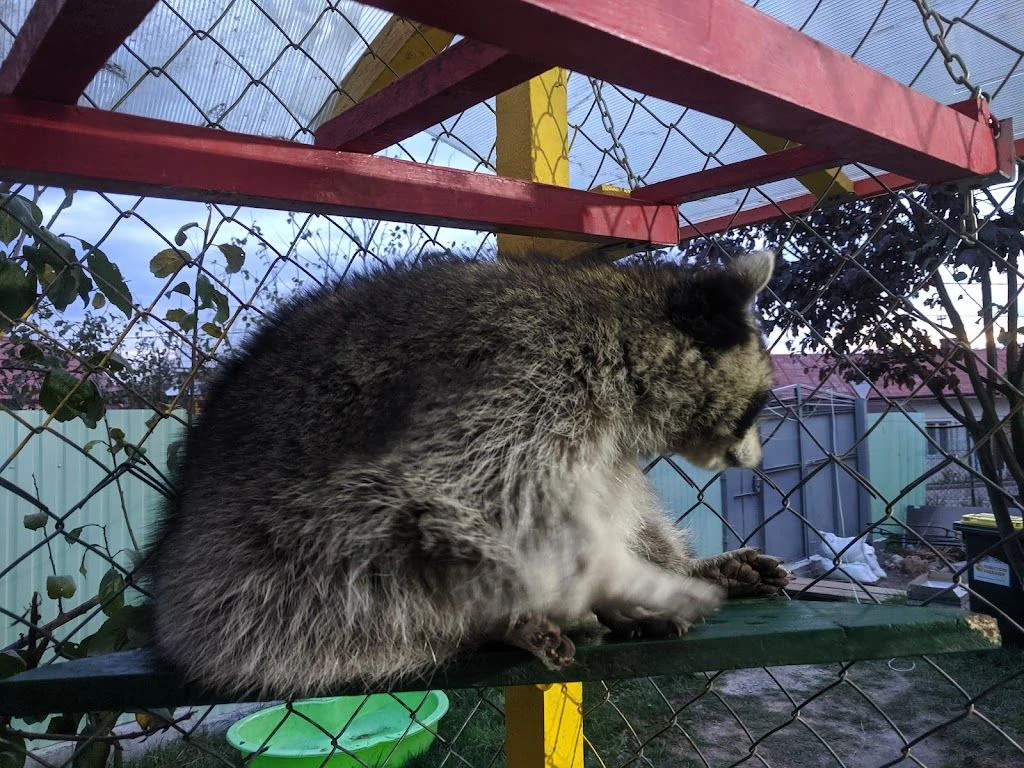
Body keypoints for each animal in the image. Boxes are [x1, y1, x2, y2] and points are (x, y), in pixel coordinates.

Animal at [147, 250, 788, 697]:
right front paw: (604, 586)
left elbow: (608, 503)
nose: (755, 460)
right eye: (756, 406)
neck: (620, 322)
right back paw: (496, 622)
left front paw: (665, 567)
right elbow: (454, 497)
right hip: (257, 569)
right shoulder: (514, 380)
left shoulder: (586, 424)